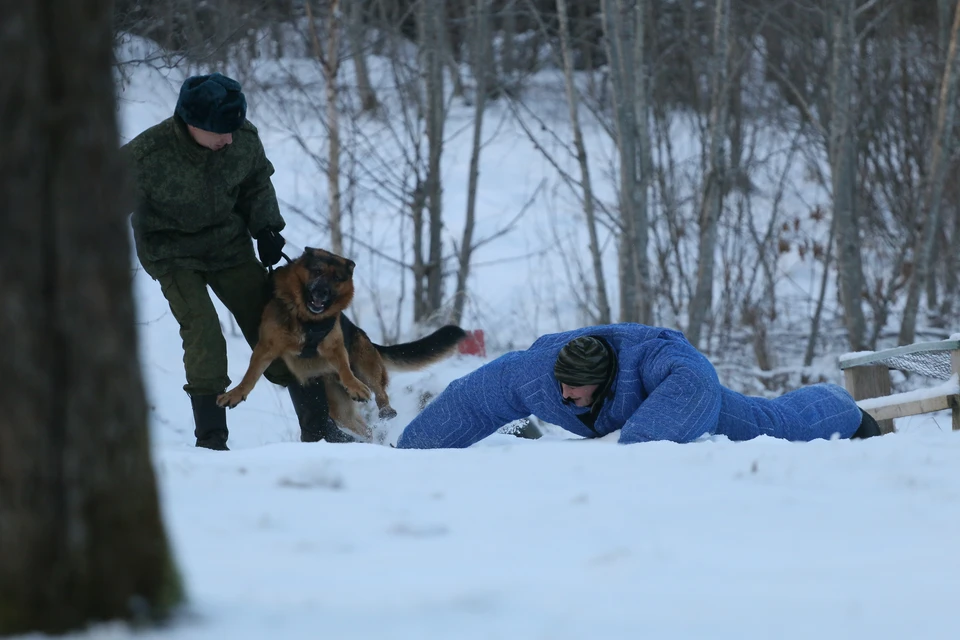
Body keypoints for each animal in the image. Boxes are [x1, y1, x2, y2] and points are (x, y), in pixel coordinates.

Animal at [218, 248, 472, 442]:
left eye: (337, 278)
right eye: (317, 271)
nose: (321, 291)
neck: (306, 319)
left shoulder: (336, 347)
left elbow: (344, 367)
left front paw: (356, 387)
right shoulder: (265, 348)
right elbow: (250, 376)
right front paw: (235, 394)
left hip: (364, 362)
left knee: (379, 391)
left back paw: (385, 410)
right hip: (338, 408)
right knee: (363, 428)